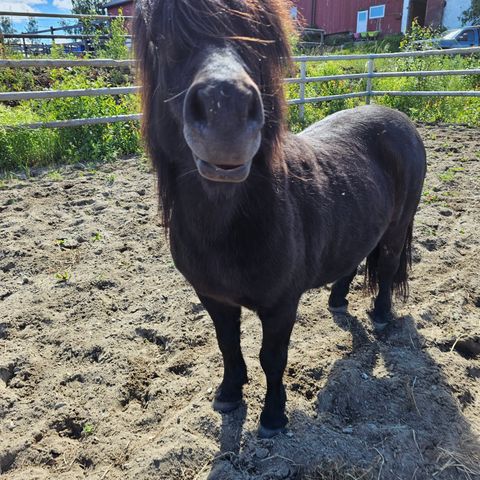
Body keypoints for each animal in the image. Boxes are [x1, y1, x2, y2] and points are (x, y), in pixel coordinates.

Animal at [134, 0, 424, 438]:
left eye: (263, 42)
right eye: (164, 41)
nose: (226, 110)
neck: (228, 228)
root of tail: (398, 117)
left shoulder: (281, 305)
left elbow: (272, 358)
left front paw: (273, 416)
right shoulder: (213, 297)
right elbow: (227, 346)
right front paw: (229, 394)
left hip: (397, 227)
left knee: (387, 268)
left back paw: (381, 316)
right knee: (354, 257)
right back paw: (337, 301)